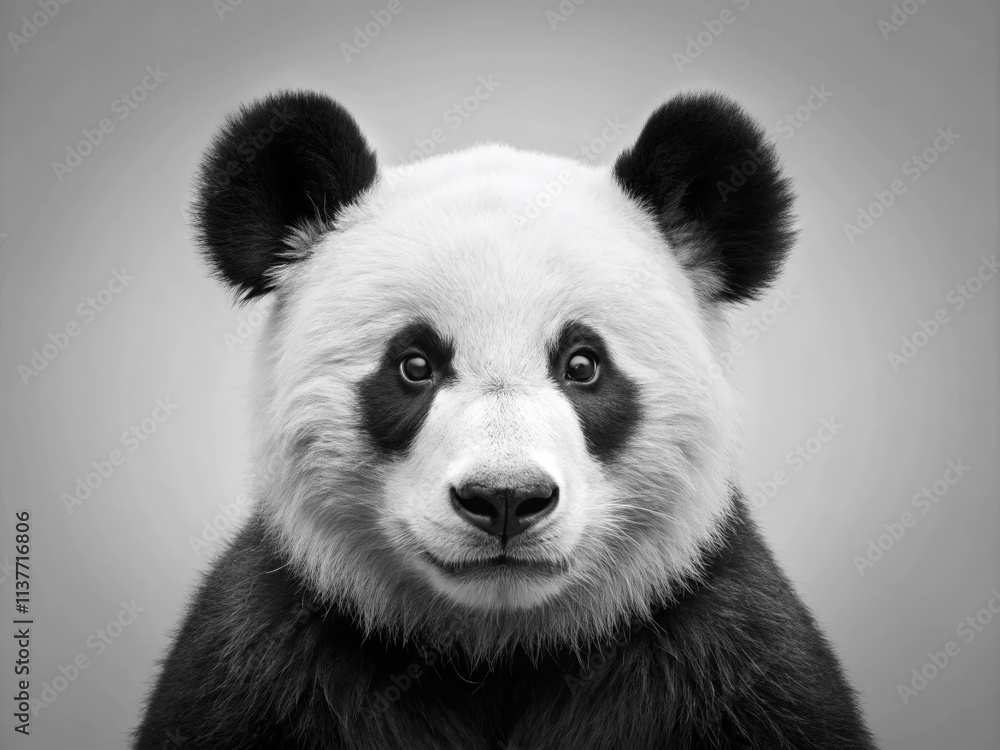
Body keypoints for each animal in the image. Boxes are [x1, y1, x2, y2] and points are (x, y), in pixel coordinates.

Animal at [134, 89, 876, 749]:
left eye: (583, 365)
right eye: (414, 364)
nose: (505, 499)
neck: (500, 651)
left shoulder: (725, 657)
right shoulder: (268, 665)